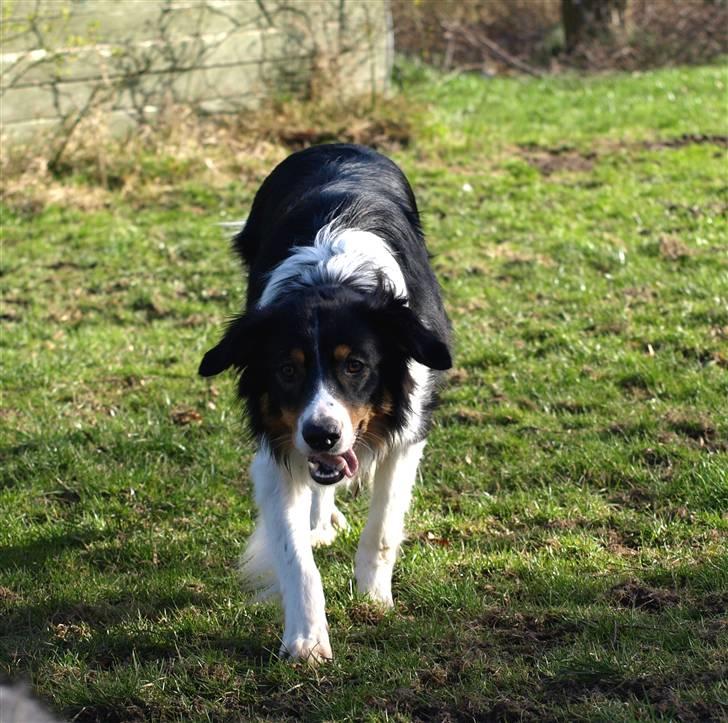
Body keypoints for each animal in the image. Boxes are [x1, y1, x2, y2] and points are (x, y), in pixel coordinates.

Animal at [199, 144, 450, 664]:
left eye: (355, 365)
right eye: (286, 370)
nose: (322, 435)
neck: (330, 278)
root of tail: (333, 145)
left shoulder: (407, 433)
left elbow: (382, 528)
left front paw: (373, 599)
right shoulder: (277, 448)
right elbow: (296, 555)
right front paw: (307, 639)